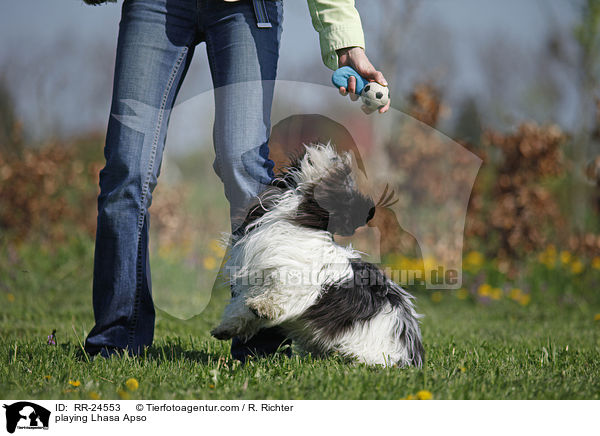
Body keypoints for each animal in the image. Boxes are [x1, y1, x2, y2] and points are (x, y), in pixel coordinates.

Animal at [213, 145, 424, 366]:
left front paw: (263, 307)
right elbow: (241, 309)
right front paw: (226, 327)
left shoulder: (300, 279)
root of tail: (411, 351)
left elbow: (282, 294)